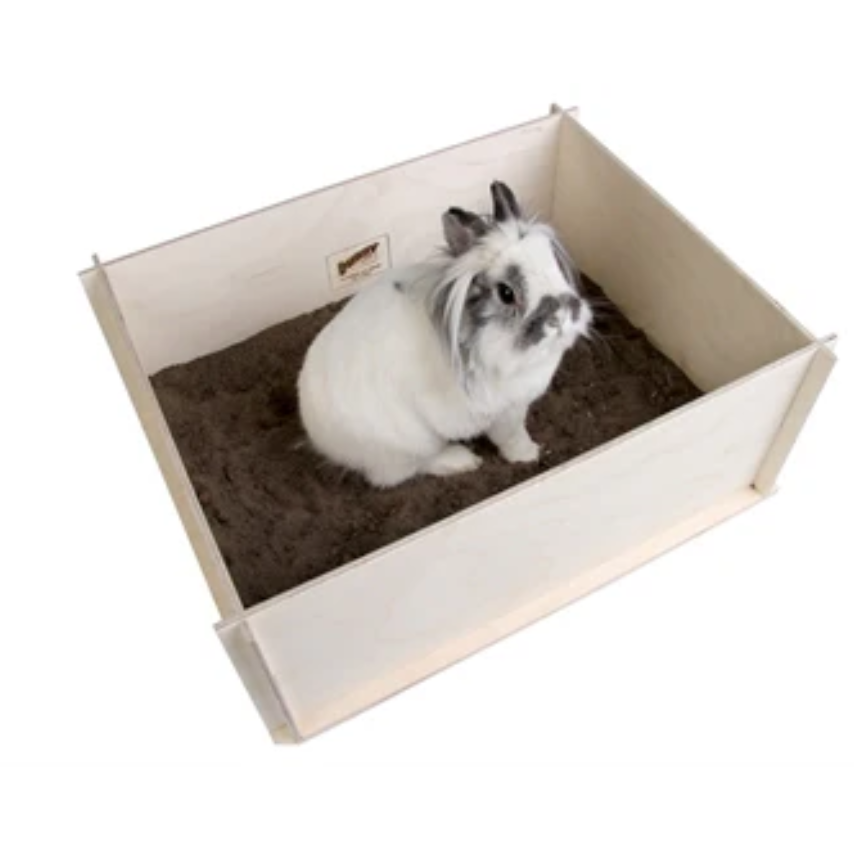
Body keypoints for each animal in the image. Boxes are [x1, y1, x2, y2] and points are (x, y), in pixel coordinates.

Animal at [297, 180, 593, 488]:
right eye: (506, 293)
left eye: (553, 262)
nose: (562, 317)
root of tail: (317, 432)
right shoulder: (503, 413)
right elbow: (510, 437)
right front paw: (528, 455)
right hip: (408, 445)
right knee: (406, 470)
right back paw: (461, 460)